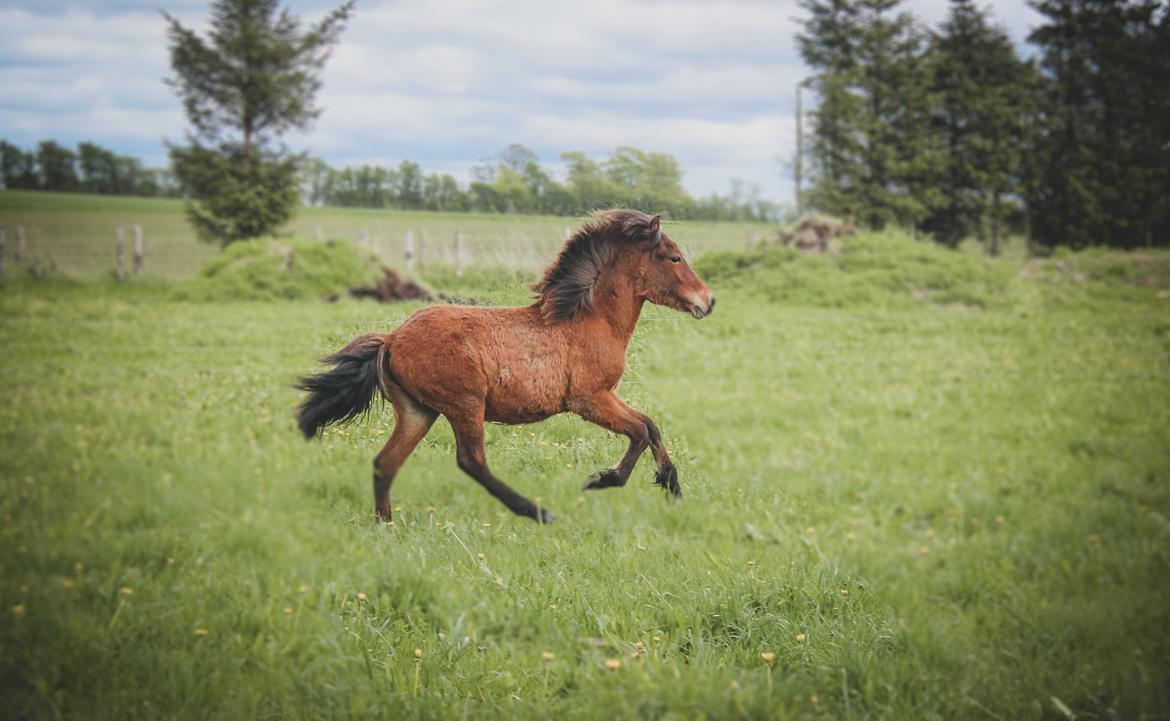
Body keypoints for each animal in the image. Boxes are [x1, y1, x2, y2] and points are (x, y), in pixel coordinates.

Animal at [294, 208, 711, 524]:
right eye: (674, 257)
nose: (708, 301)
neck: (587, 319)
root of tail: (392, 338)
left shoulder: (606, 396)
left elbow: (650, 425)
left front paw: (672, 486)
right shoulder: (588, 400)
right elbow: (640, 431)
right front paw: (600, 480)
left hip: (418, 412)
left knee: (386, 462)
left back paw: (386, 524)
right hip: (465, 404)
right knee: (471, 462)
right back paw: (538, 513)